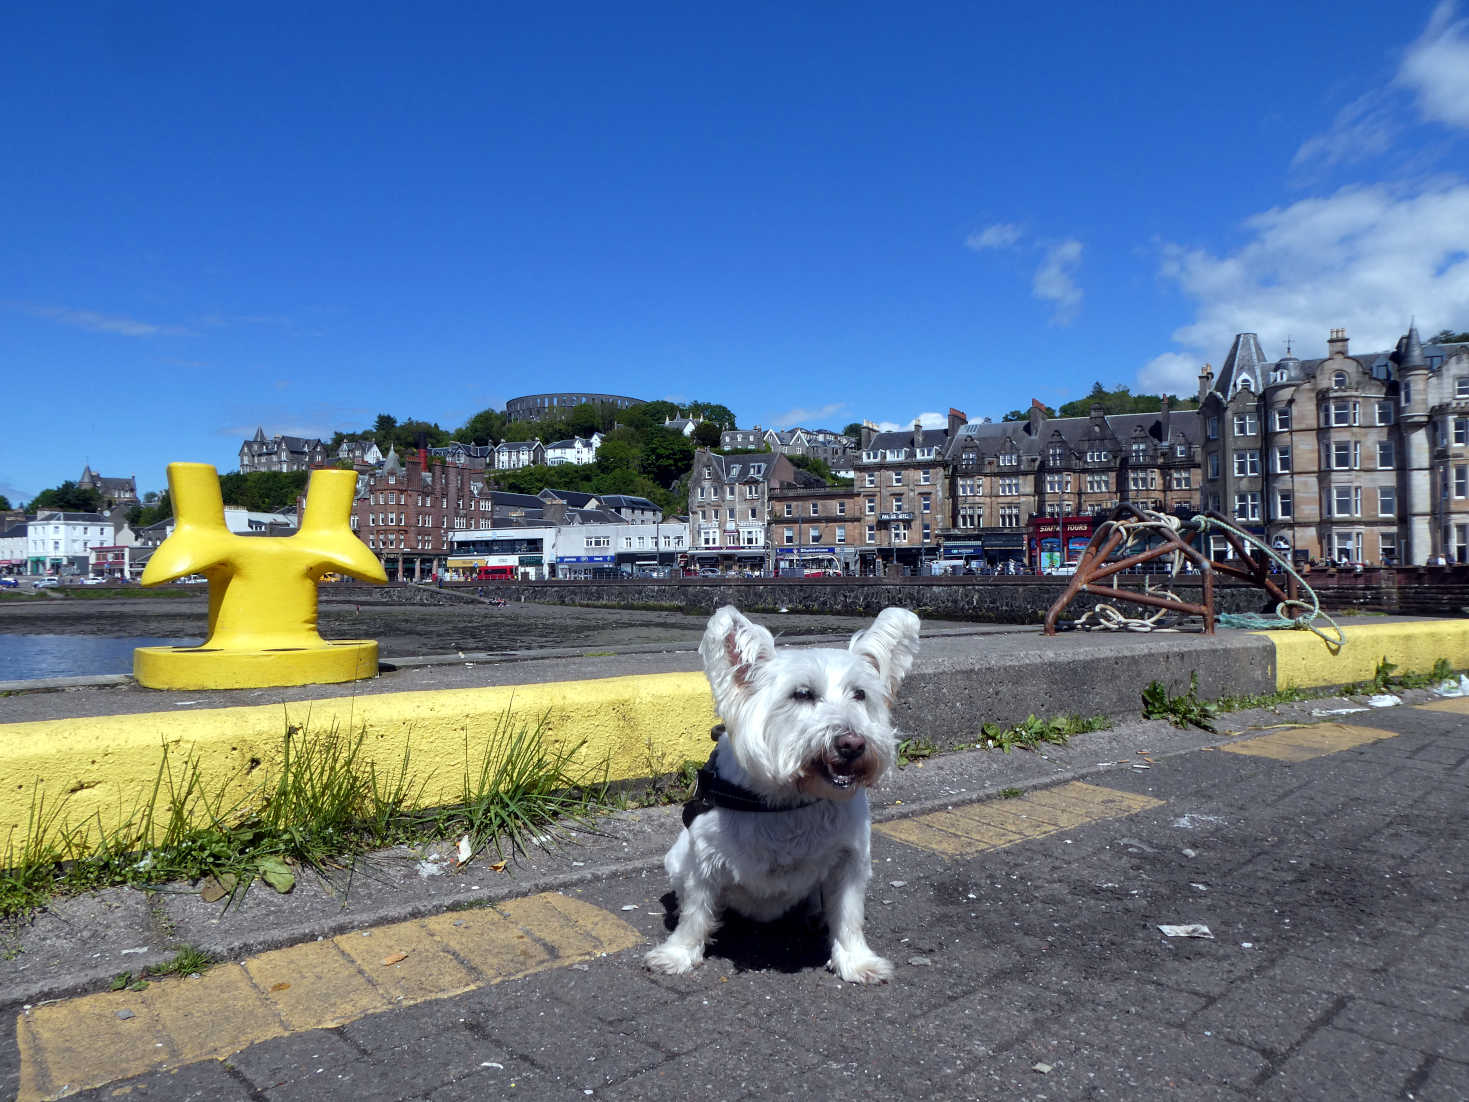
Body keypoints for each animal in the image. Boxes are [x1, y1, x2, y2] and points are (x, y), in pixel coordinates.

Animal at [643, 608, 916, 987]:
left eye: (860, 694)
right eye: (802, 694)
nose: (853, 744)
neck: (790, 798)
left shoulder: (849, 860)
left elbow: (848, 915)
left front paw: (856, 961)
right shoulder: (704, 860)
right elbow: (695, 913)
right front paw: (678, 954)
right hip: (677, 856)